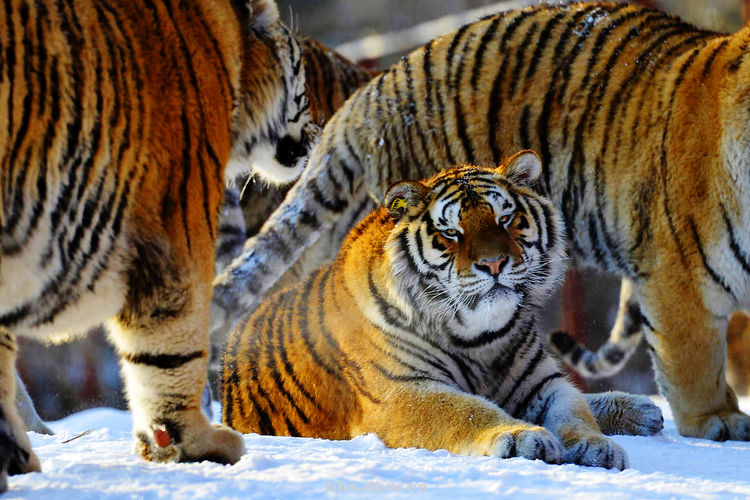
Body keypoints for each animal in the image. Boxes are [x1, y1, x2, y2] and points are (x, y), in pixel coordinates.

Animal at [219, 151, 664, 468]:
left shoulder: (542, 381)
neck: (480, 335)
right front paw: (522, 436)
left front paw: (595, 446)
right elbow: (468, 411)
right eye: (452, 232)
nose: (494, 264)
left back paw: (642, 410)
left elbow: (575, 411)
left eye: (506, 219)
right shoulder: (402, 391)